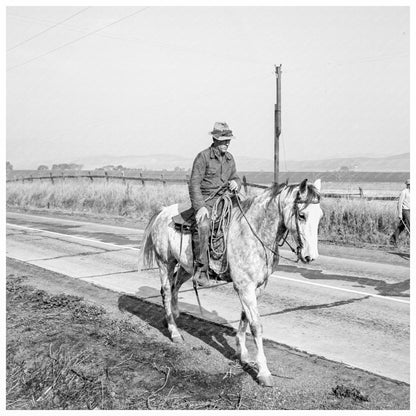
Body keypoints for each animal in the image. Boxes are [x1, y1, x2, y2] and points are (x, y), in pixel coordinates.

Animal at [142, 179, 322, 386]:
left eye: (320, 216)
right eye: (302, 215)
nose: (310, 257)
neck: (254, 234)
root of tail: (163, 212)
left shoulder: (256, 287)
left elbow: (245, 318)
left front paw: (242, 354)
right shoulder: (245, 287)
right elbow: (256, 326)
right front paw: (263, 372)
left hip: (187, 268)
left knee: (175, 287)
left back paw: (173, 316)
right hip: (165, 262)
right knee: (165, 291)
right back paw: (174, 332)